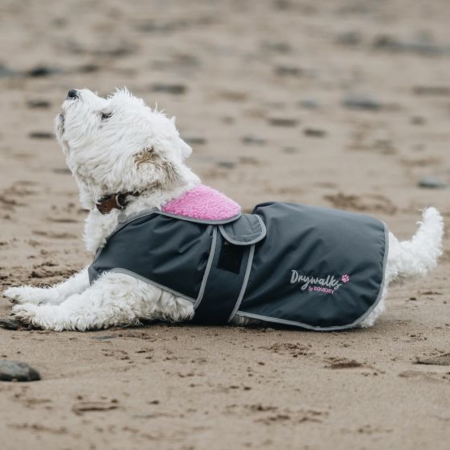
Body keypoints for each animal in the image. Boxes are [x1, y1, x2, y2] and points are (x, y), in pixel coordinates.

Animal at [3, 89, 444, 332]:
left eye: (105, 114)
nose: (72, 91)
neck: (139, 200)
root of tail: (397, 254)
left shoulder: (124, 290)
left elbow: (78, 306)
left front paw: (37, 315)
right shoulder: (106, 268)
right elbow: (67, 286)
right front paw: (30, 292)